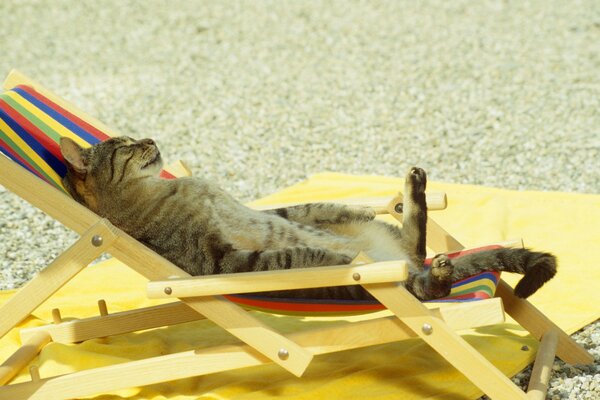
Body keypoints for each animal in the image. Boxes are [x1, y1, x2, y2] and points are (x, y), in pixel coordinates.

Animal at [58, 137, 556, 300]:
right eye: (126, 145)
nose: (149, 138)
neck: (158, 190)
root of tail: (409, 266)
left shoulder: (265, 210)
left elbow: (303, 210)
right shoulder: (220, 263)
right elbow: (290, 256)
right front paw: (331, 256)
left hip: (394, 240)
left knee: (415, 240)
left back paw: (413, 189)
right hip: (393, 280)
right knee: (428, 283)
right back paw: (436, 271)